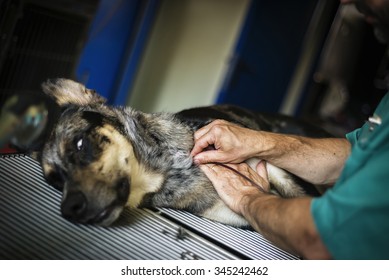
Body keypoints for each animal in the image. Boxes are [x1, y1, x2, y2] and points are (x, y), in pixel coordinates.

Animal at [28, 78, 328, 228]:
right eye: (56, 181)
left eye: (80, 144)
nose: (70, 209)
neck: (170, 169)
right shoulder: (237, 212)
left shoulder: (278, 171)